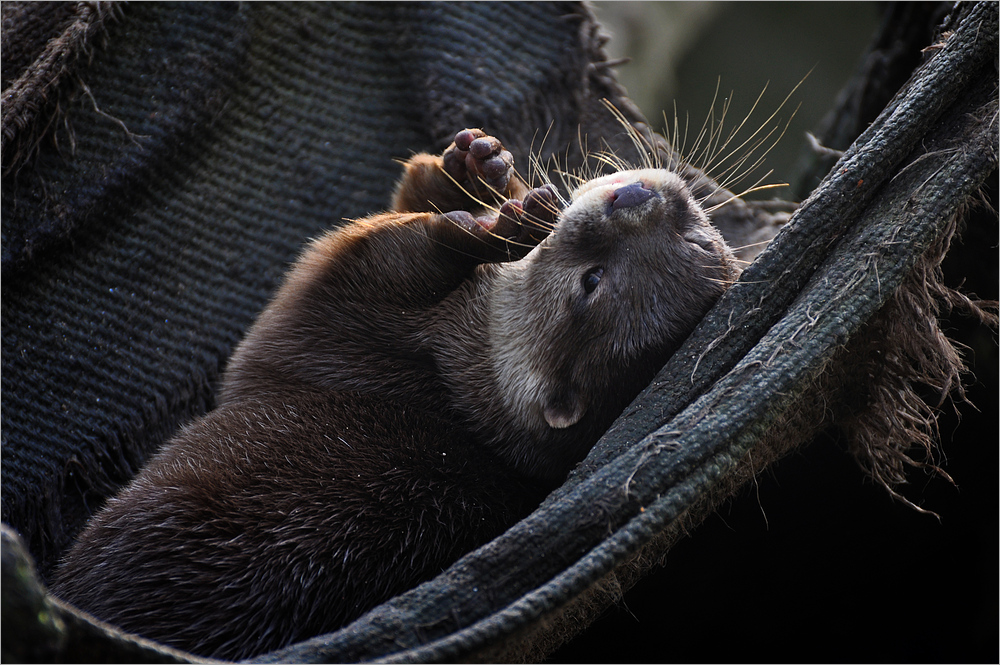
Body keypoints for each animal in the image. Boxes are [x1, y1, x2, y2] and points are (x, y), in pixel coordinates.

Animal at [50, 128, 740, 660]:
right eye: (696, 234)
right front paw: (481, 168)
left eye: (591, 283)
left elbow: (381, 247)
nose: (637, 195)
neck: (448, 375)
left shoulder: (325, 320)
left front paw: (504, 222)